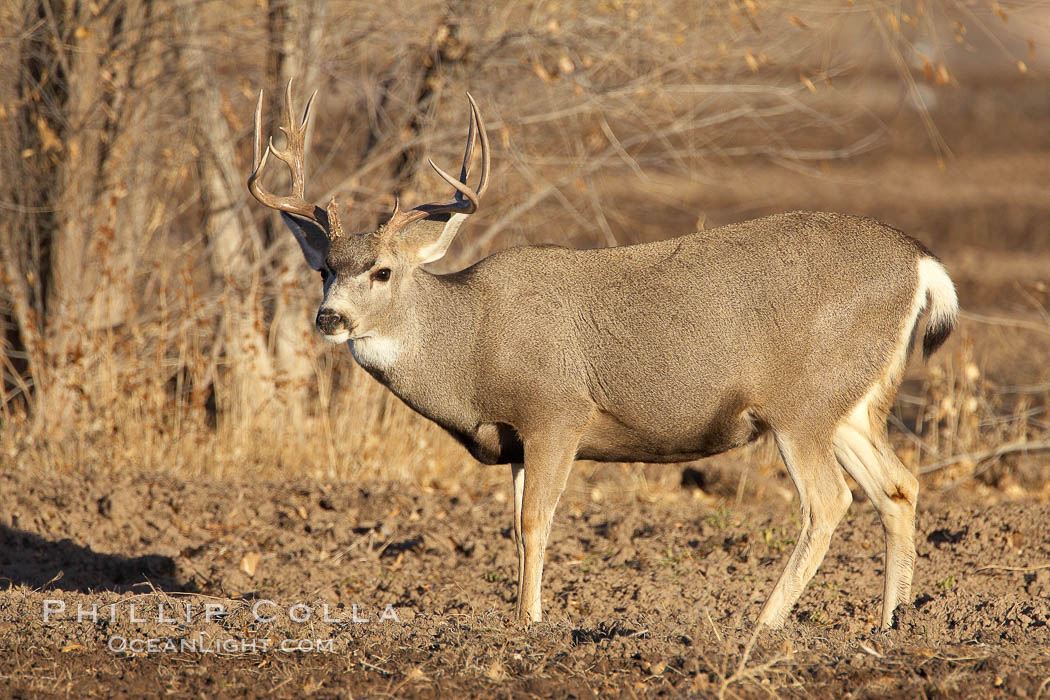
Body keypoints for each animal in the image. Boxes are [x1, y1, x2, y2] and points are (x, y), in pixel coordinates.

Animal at [247, 82, 961, 629]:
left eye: (384, 271)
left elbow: (537, 521)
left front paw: (528, 623)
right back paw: (889, 624)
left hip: (802, 404)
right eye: (324, 269)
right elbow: (516, 527)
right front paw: (522, 612)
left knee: (831, 502)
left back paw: (764, 625)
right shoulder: (516, 440)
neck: (471, 348)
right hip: (851, 404)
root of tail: (921, 263)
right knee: (899, 487)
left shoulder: (556, 411)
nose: (329, 318)